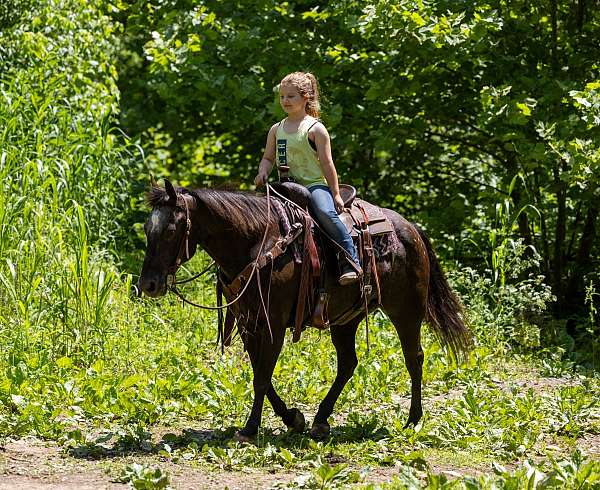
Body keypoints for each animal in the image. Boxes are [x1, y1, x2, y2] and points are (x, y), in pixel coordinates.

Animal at [138, 180, 472, 440]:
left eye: (171, 230)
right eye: (147, 228)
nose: (148, 284)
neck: (258, 243)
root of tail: (410, 228)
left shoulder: (272, 324)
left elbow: (262, 377)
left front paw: (250, 428)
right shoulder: (249, 323)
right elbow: (261, 374)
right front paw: (292, 418)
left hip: (406, 310)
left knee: (414, 358)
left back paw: (413, 420)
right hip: (345, 319)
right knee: (348, 363)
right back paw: (321, 420)